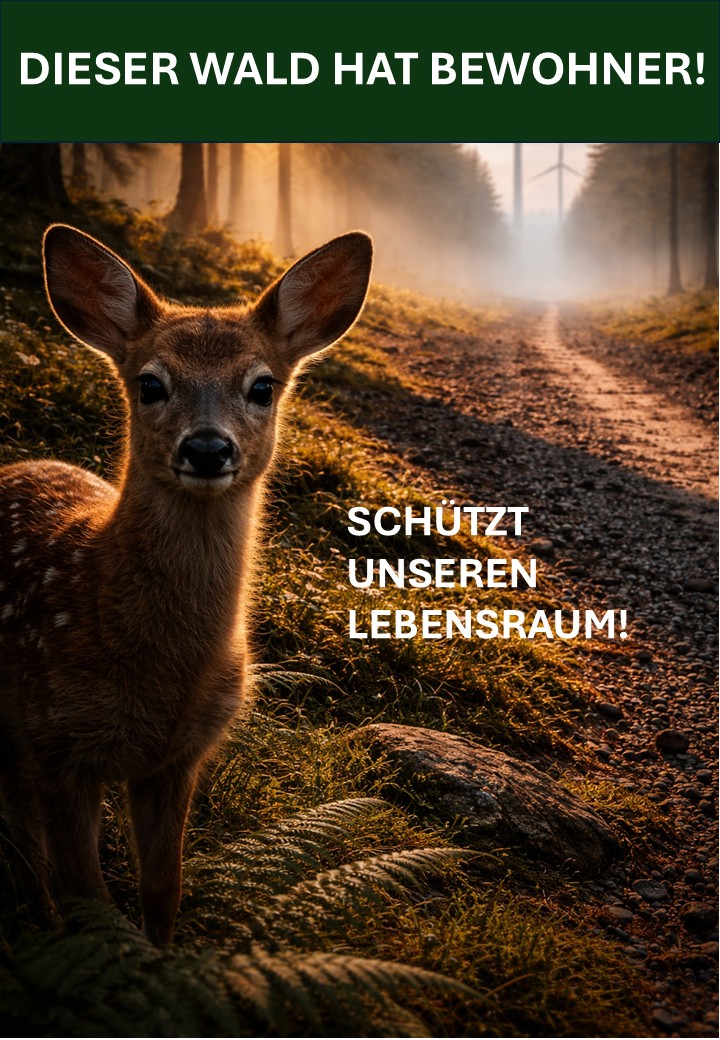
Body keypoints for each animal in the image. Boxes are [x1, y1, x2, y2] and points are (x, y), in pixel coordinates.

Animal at [0, 224, 373, 945]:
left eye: (262, 386)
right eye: (150, 383)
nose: (207, 448)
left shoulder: (181, 758)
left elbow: (162, 891)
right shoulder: (55, 744)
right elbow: (89, 897)